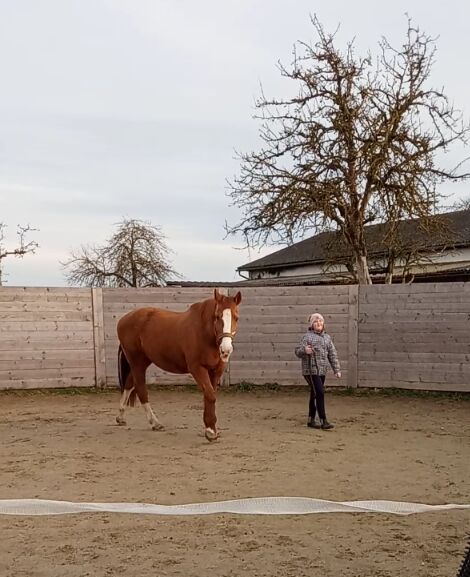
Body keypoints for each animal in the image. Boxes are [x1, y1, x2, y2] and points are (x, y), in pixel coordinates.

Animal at [115, 288, 241, 440]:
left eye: (236, 317)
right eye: (217, 316)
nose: (226, 350)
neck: (204, 332)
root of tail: (123, 320)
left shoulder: (215, 371)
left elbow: (210, 395)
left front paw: (211, 428)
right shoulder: (197, 369)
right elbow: (210, 395)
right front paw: (210, 431)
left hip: (142, 362)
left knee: (129, 384)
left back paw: (121, 417)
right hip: (137, 362)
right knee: (141, 389)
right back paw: (155, 423)